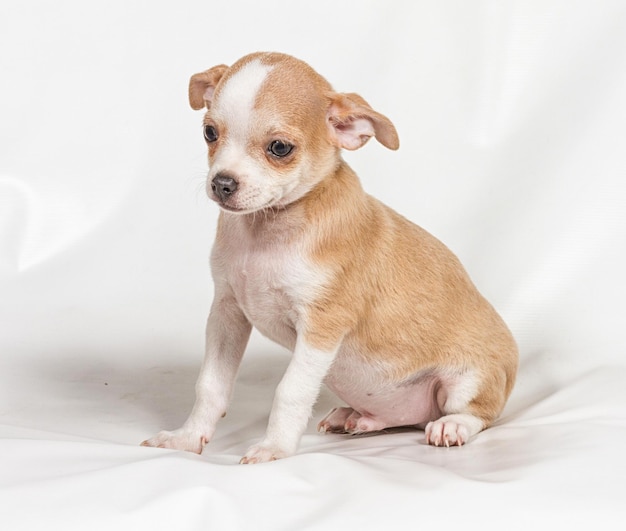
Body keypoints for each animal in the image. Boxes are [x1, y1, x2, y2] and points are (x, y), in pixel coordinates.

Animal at [141, 52, 516, 464]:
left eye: (279, 148)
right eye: (210, 133)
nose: (222, 183)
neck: (264, 235)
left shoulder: (321, 327)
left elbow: (290, 392)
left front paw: (275, 447)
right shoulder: (227, 312)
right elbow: (210, 385)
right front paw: (187, 438)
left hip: (469, 382)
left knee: (478, 414)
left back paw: (452, 426)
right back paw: (356, 418)